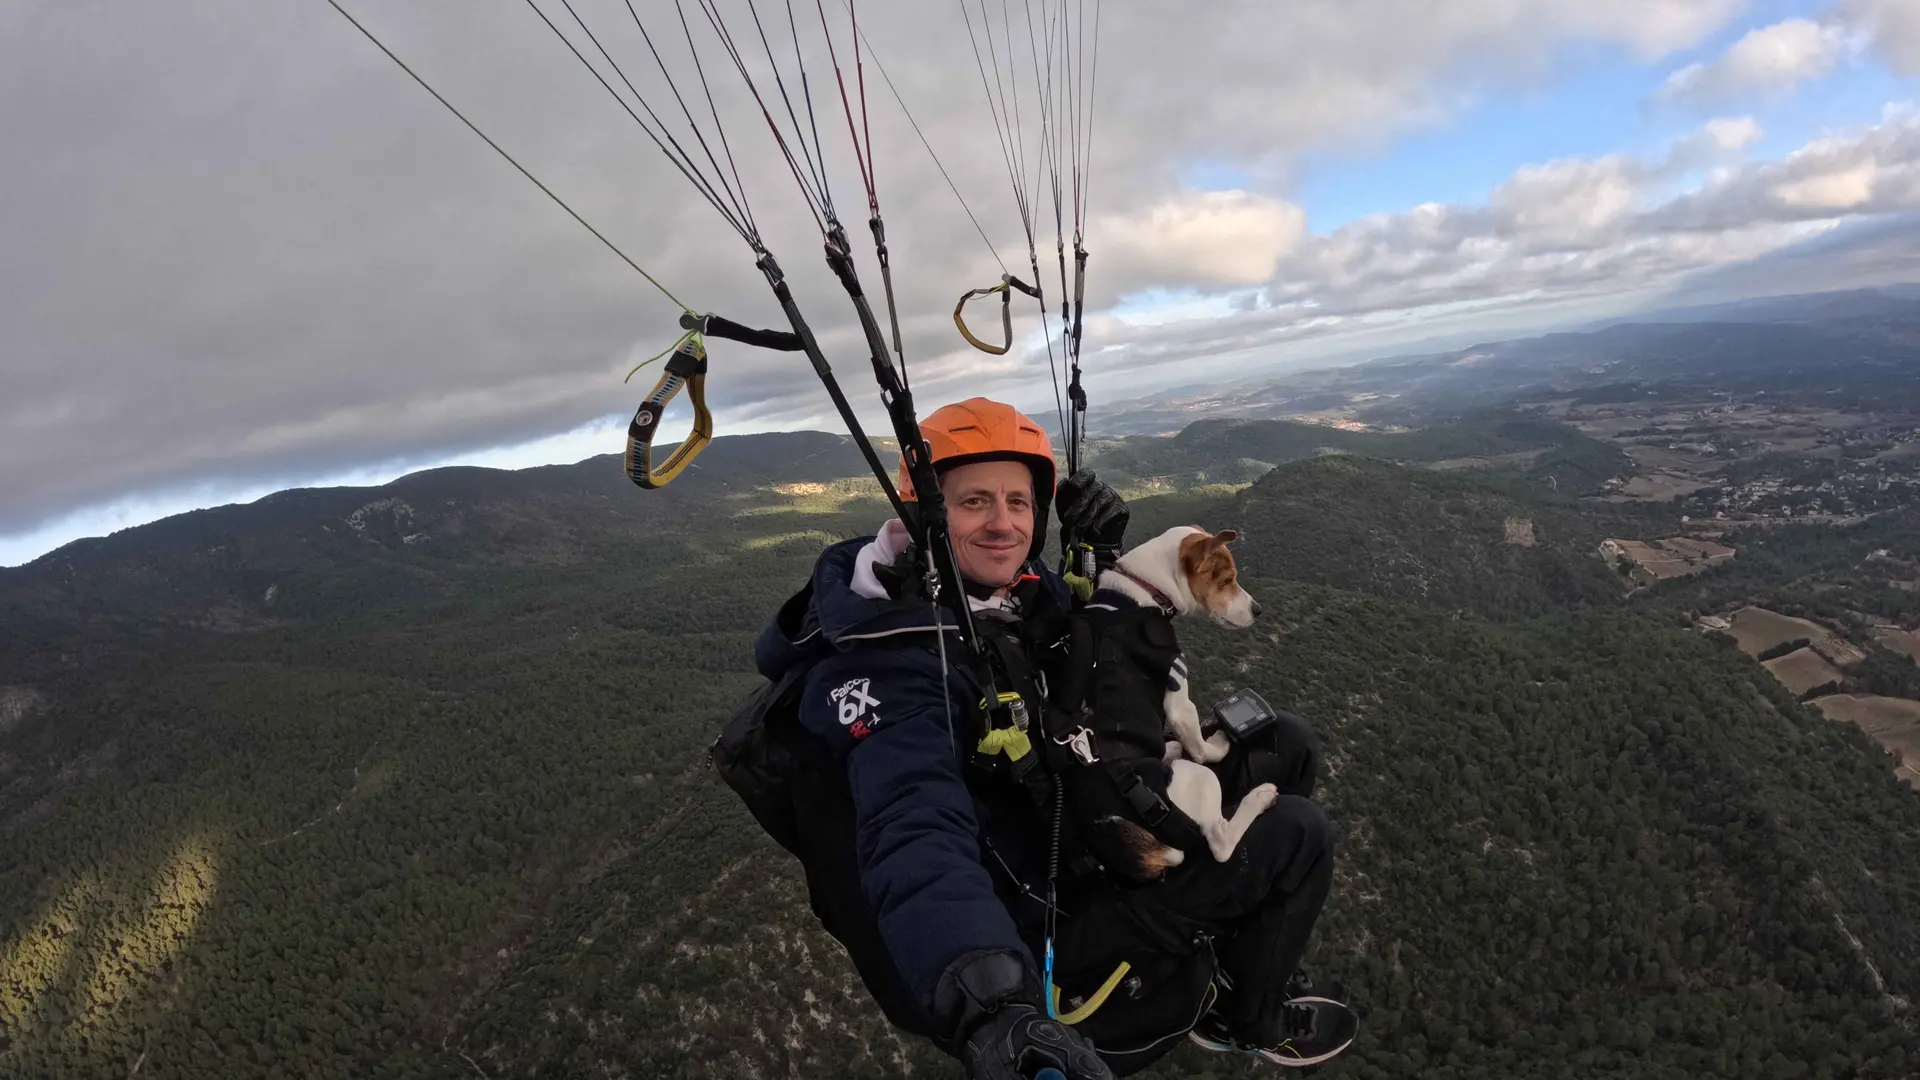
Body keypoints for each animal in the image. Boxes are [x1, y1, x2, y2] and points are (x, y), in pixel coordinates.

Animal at [1058, 525, 1277, 882]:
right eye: (1227, 580)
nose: (1258, 610)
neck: (1145, 587)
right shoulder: (1178, 694)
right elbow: (1202, 747)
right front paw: (1218, 744)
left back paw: (1170, 749)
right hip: (1199, 781)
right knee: (1220, 841)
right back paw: (1260, 797)